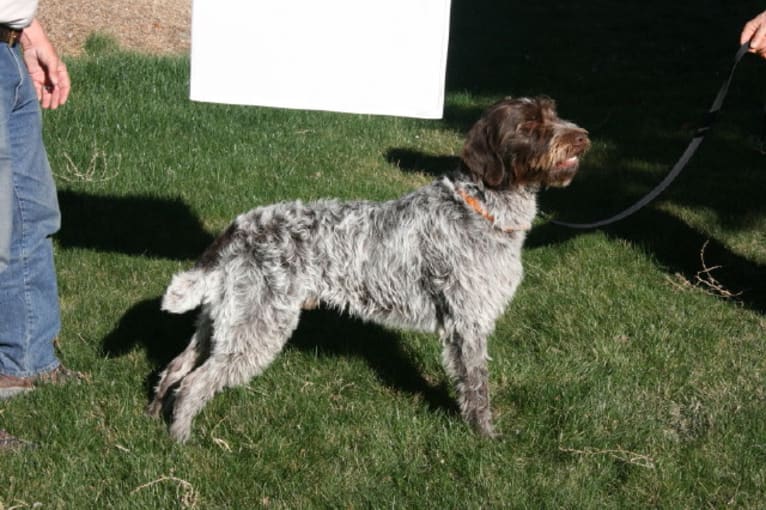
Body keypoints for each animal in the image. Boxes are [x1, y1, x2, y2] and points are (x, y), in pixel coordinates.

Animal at [150, 95, 592, 442]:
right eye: (529, 126)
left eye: (553, 113)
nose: (583, 137)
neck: (481, 208)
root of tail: (239, 228)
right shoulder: (468, 323)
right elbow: (476, 387)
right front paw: (485, 437)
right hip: (256, 327)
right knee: (193, 384)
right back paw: (180, 437)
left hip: (220, 320)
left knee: (175, 367)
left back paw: (154, 416)